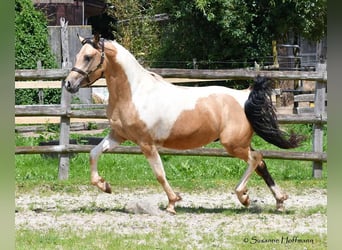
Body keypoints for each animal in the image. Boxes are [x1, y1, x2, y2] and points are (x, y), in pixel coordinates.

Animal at [63, 34, 302, 213]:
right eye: (78, 55)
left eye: (88, 57)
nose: (69, 84)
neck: (134, 93)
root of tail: (244, 96)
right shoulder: (118, 136)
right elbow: (93, 153)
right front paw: (104, 185)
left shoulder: (146, 143)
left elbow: (160, 174)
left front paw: (172, 202)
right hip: (240, 143)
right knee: (261, 164)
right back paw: (278, 201)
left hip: (233, 144)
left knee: (256, 158)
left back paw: (243, 196)